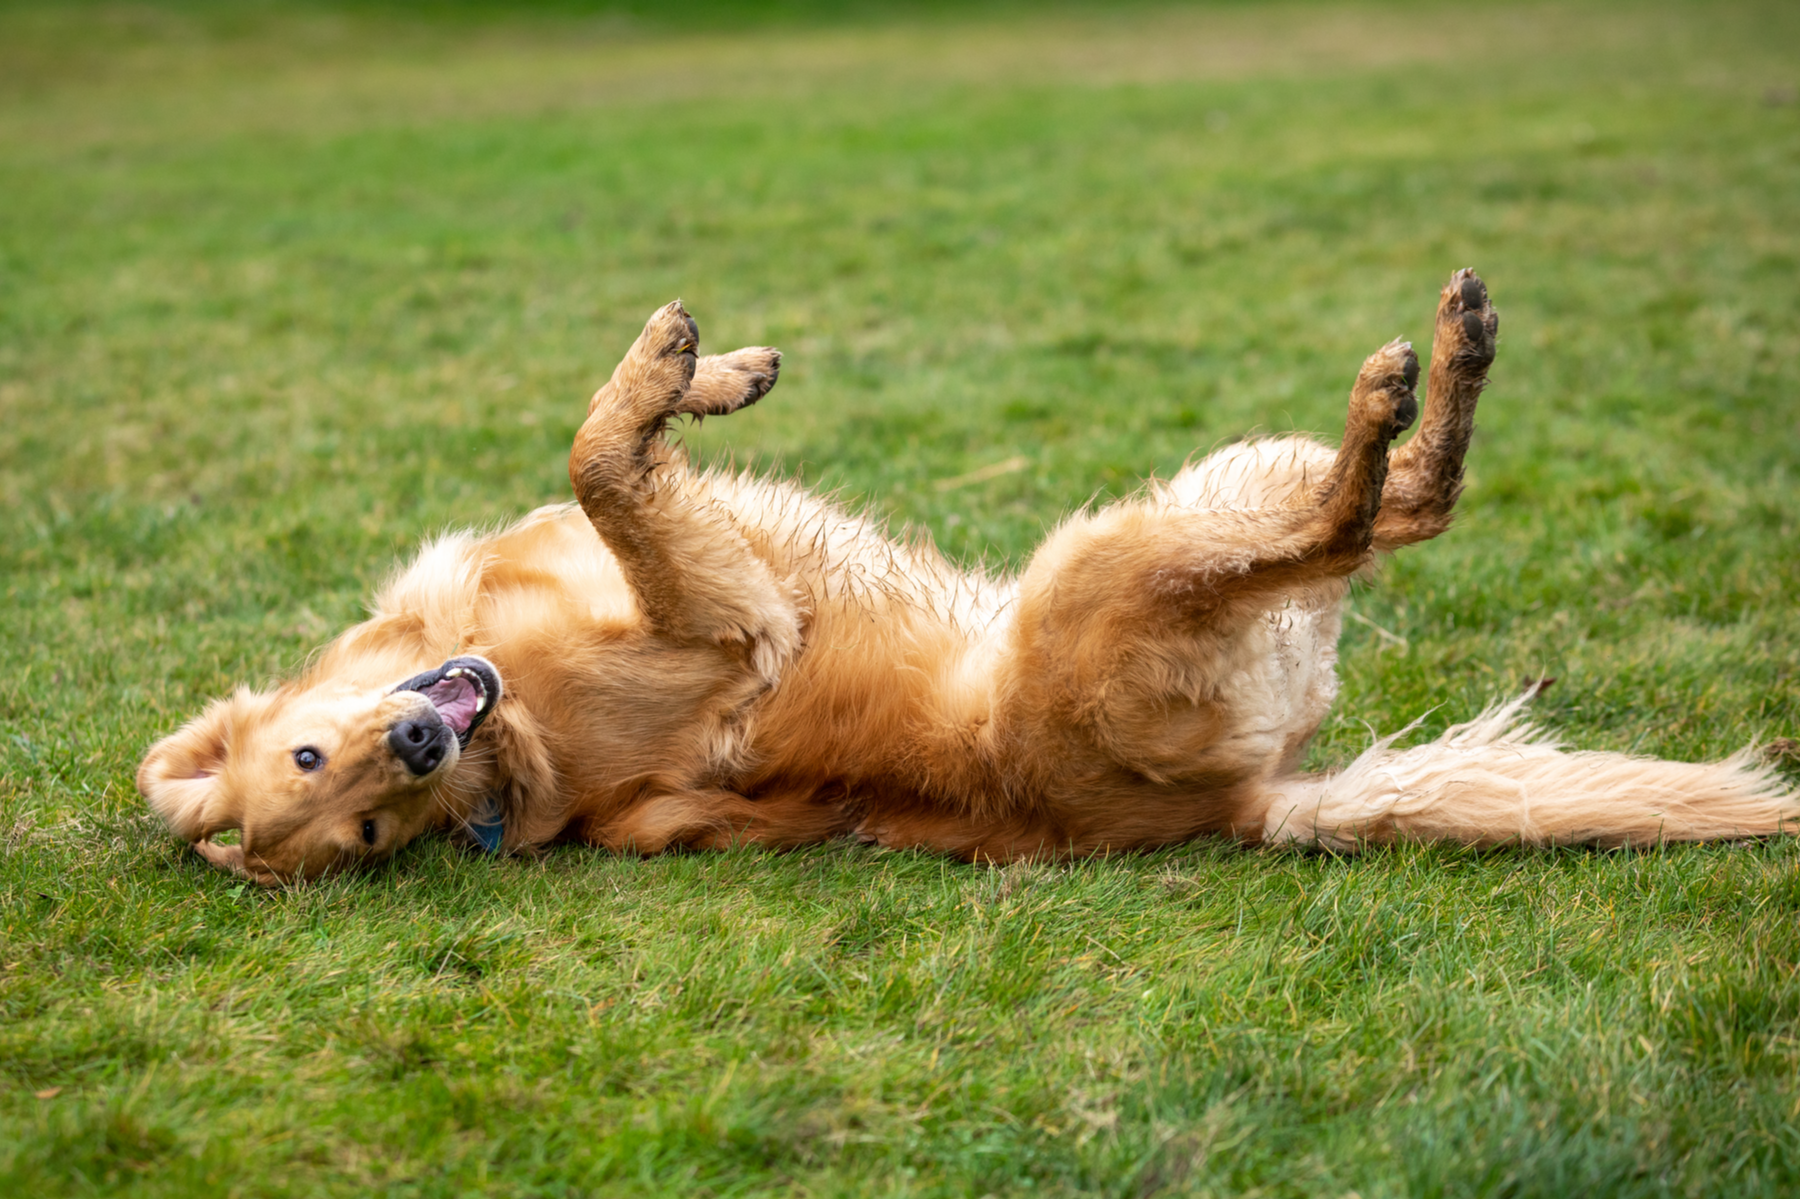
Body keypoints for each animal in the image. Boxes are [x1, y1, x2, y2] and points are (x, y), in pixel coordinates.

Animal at [140, 275, 1800, 892]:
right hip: (1123, 559)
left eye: (325, 770)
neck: (501, 686)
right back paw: (1411, 378)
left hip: (1205, 491)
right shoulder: (734, 618)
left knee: (1399, 504)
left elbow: (615, 455)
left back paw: (1448, 356)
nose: (422, 744)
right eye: (358, 820)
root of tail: (1244, 805)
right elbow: (606, 455)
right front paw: (676, 369)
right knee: (1367, 518)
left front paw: (717, 370)